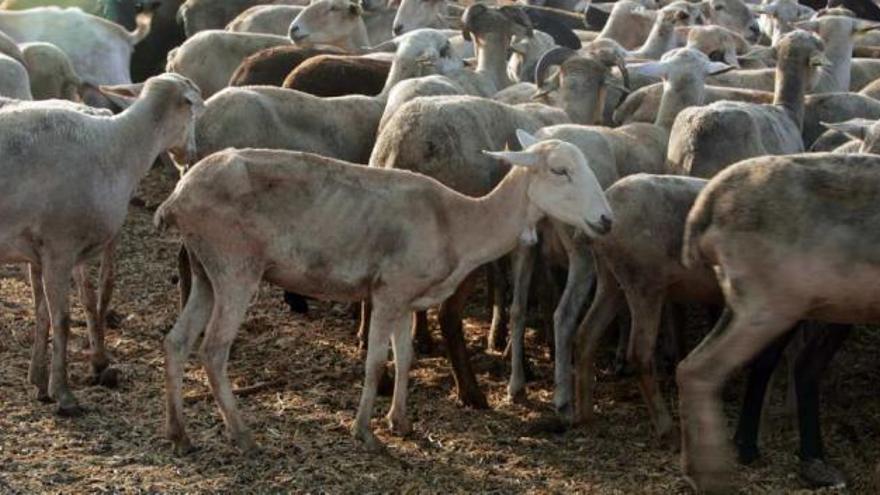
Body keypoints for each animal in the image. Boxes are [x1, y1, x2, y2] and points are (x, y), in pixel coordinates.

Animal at [155, 132, 616, 454]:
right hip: (234, 263)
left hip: (205, 267)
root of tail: (176, 198)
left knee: (177, 341)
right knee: (213, 349)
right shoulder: (389, 290)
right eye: (560, 170)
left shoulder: (408, 296)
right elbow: (376, 361)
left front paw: (400, 422)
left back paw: (179, 435)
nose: (607, 220)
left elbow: (405, 356)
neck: (461, 224)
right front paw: (365, 432)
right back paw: (242, 435)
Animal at [676, 153, 876, 494]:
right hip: (767, 305)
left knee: (687, 366)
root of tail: (705, 206)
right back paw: (715, 475)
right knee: (702, 370)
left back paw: (694, 470)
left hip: (741, 301)